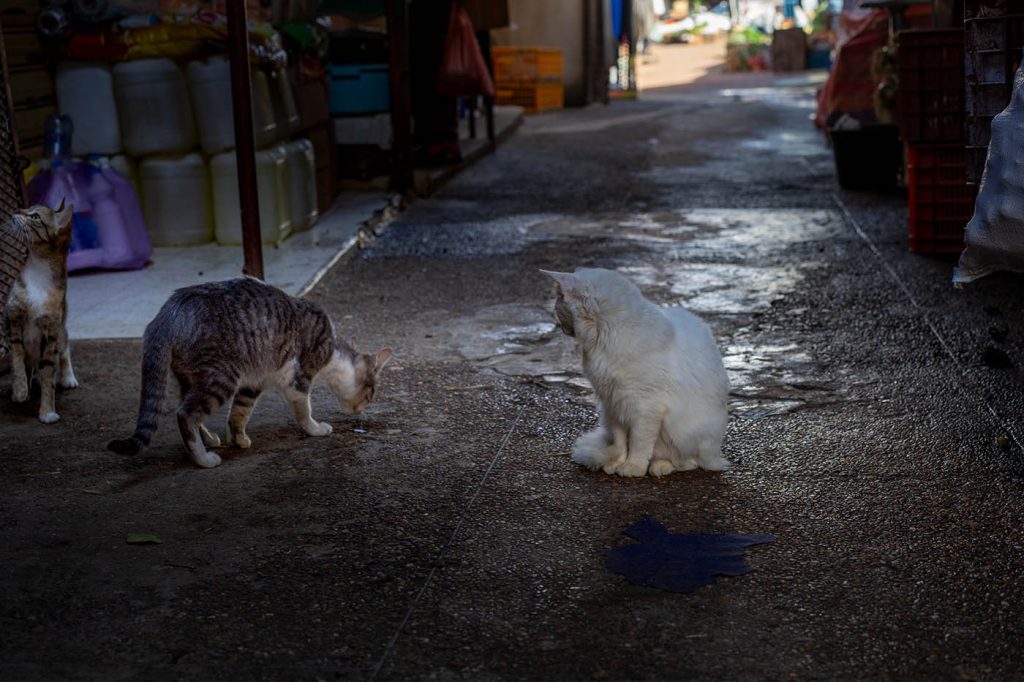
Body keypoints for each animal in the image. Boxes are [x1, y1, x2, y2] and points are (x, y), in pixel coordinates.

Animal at [4, 201, 78, 421]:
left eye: (35, 216)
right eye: (27, 208)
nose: (16, 211)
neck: (38, 270)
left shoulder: (51, 330)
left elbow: (48, 375)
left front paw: (47, 412)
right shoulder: (14, 317)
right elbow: (17, 357)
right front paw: (20, 390)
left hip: (60, 332)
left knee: (65, 346)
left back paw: (68, 377)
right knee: (28, 365)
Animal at [109, 276, 391, 466]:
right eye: (371, 394)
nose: (363, 410)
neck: (333, 351)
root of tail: (166, 316)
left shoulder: (253, 384)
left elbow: (240, 413)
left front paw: (238, 439)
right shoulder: (298, 380)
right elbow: (304, 411)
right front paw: (315, 429)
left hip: (191, 378)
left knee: (187, 408)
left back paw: (208, 439)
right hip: (221, 377)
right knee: (185, 414)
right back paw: (203, 458)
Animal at [540, 268, 733, 475]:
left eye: (559, 304)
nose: (560, 326)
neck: (604, 338)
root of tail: (715, 454)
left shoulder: (645, 407)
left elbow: (639, 443)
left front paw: (633, 467)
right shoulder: (613, 403)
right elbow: (620, 442)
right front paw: (616, 463)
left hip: (687, 432)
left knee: (689, 462)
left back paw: (660, 467)